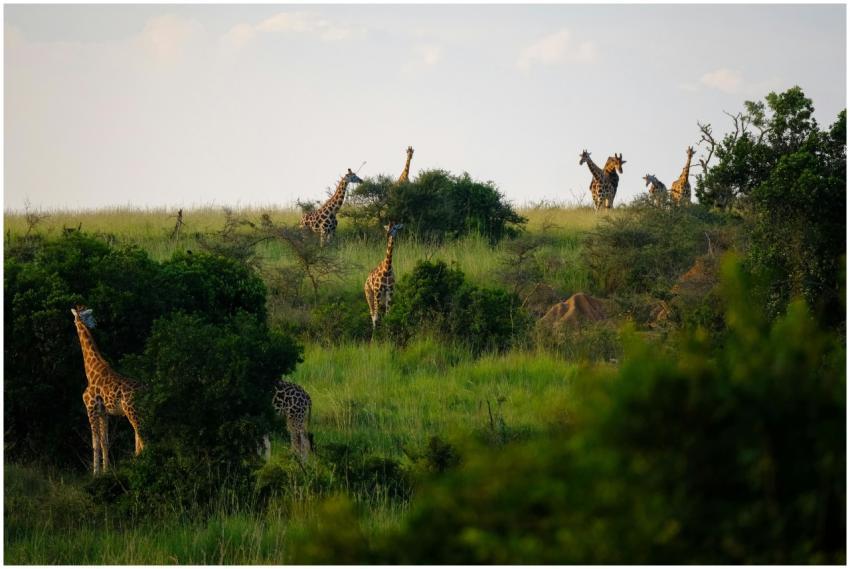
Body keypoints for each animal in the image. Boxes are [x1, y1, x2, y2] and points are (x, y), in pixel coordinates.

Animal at [71, 305, 144, 475]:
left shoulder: (90, 408)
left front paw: (95, 474)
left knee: (142, 435)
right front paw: (106, 471)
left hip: (132, 411)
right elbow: (105, 441)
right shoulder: (104, 412)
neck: (91, 371)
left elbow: (95, 443)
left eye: (89, 315)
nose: (95, 323)